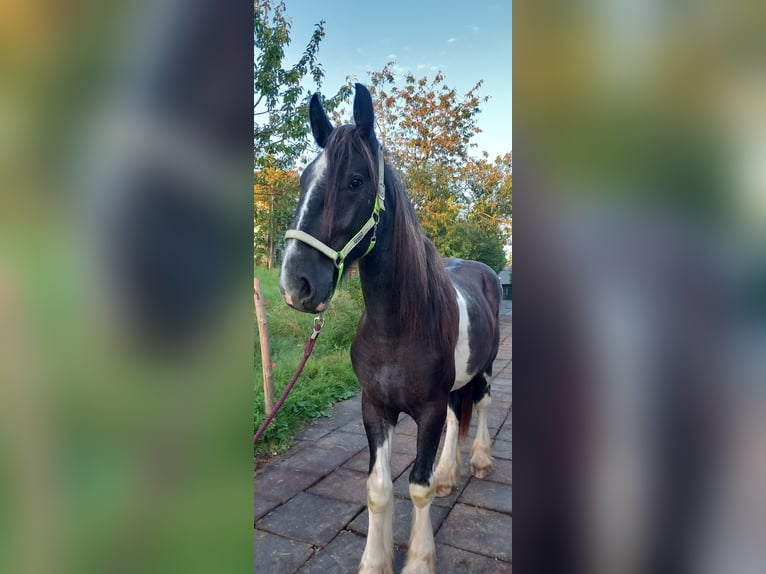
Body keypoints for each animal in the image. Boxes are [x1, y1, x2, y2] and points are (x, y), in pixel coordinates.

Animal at [280, 83, 500, 572]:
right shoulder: (375, 408)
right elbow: (379, 489)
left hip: (485, 368)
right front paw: (373, 561)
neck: (395, 331)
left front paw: (419, 559)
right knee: (459, 412)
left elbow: (416, 487)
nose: (294, 283)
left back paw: (479, 462)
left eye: (356, 181)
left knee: (480, 405)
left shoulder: (428, 410)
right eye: (304, 180)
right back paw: (448, 474)